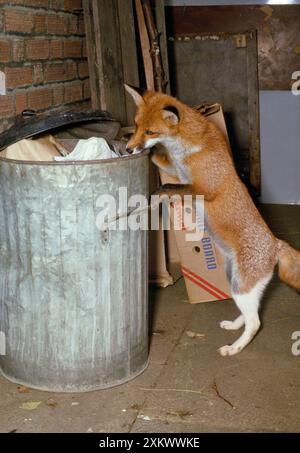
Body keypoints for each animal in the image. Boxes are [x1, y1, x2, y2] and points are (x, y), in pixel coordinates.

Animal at [124, 83, 300, 354]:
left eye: (150, 131)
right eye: (136, 126)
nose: (129, 149)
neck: (186, 149)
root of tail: (277, 243)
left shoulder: (204, 188)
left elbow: (168, 188)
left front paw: (155, 195)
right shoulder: (177, 171)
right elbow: (160, 160)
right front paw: (149, 152)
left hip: (241, 288)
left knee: (255, 323)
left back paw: (234, 348)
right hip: (236, 282)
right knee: (251, 314)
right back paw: (234, 325)